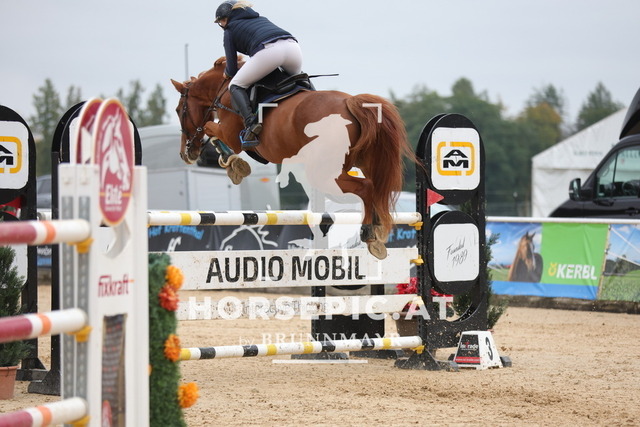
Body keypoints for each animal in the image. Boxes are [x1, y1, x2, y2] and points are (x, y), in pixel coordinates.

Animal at [171, 57, 416, 259]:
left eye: (178, 110)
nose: (185, 153)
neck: (223, 90)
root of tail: (351, 102)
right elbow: (210, 130)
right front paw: (235, 165)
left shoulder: (230, 134)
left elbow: (210, 129)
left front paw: (234, 165)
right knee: (376, 189)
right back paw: (378, 231)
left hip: (324, 175)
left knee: (366, 187)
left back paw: (369, 233)